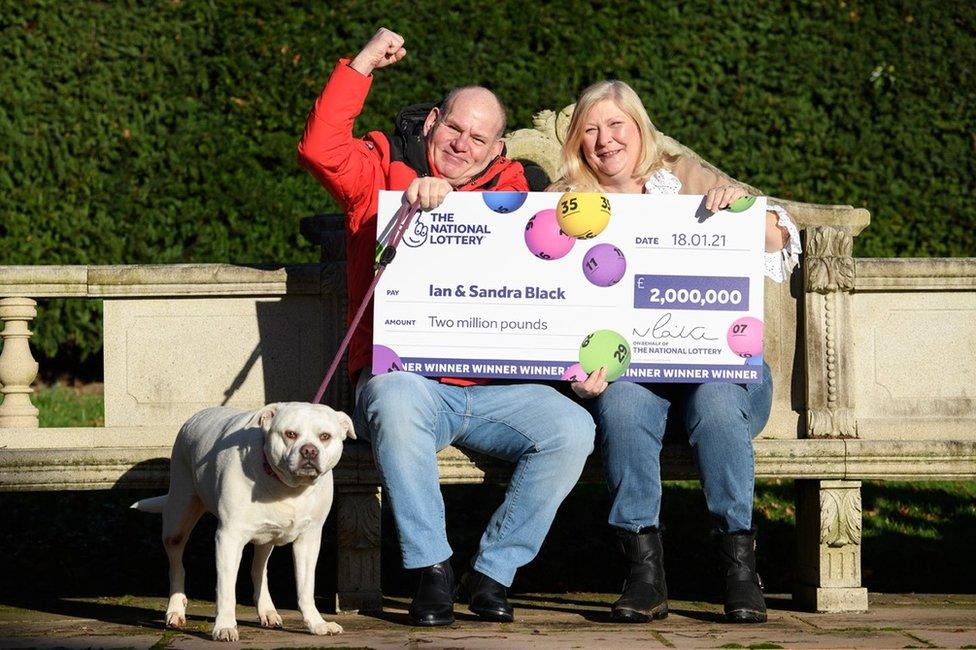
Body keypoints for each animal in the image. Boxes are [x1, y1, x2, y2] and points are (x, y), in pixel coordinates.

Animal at [132, 400, 354, 636]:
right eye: (290, 434)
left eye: (325, 436)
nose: (309, 450)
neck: (289, 487)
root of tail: (197, 416)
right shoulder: (229, 537)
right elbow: (226, 589)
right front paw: (225, 626)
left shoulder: (309, 540)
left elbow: (305, 587)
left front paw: (316, 623)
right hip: (177, 520)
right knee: (176, 565)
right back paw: (175, 610)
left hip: (266, 537)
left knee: (259, 569)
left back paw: (267, 611)